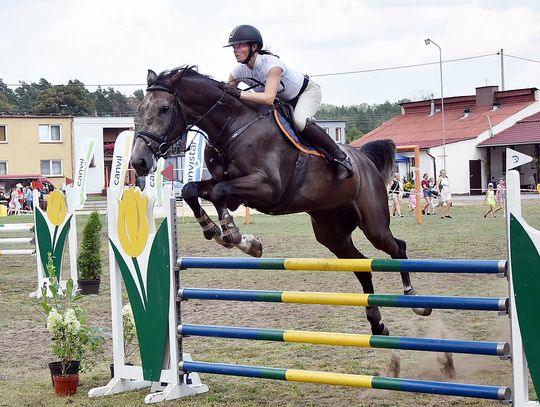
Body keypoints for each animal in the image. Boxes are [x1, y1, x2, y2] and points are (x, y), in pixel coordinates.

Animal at [130, 66, 430, 334]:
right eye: (141, 110)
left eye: (164, 109)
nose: (138, 162)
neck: (231, 126)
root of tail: (364, 159)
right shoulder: (227, 186)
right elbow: (194, 190)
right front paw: (218, 231)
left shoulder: (268, 187)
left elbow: (219, 193)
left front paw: (239, 238)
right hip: (332, 233)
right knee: (362, 267)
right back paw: (377, 323)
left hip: (373, 223)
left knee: (397, 248)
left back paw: (416, 301)